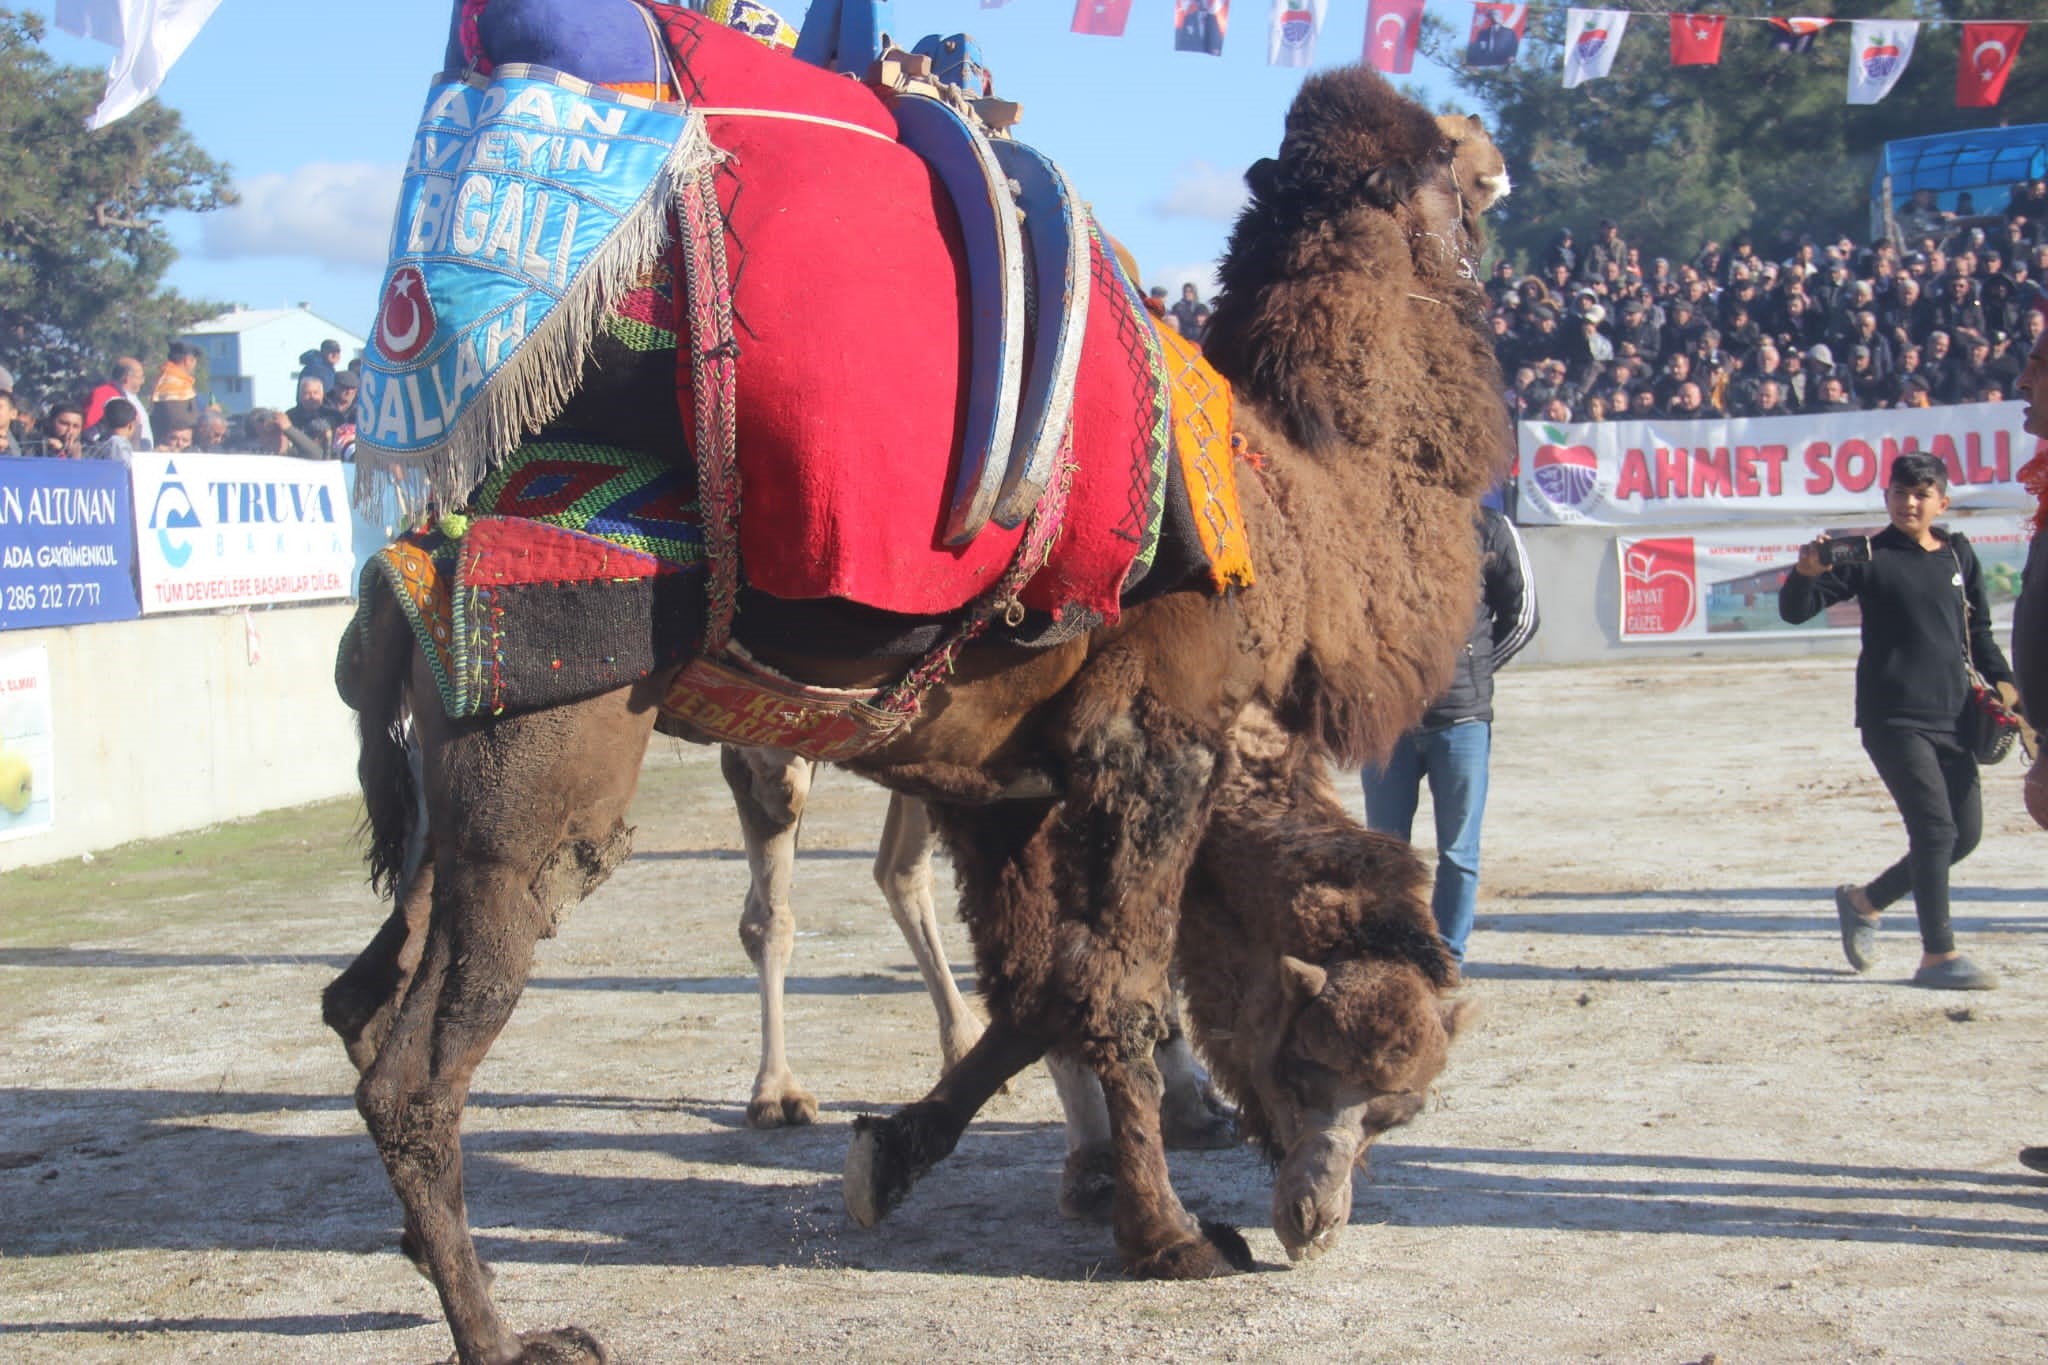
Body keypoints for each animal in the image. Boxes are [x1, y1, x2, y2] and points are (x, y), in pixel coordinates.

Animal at [323, 56, 1507, 1365]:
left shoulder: (1004, 789)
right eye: (1311, 1067)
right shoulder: (1155, 742)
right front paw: (1169, 1237)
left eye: (1394, 1106)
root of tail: (397, 578)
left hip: (448, 805)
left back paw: (420, 1248)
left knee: (357, 999)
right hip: (540, 770)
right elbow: (1120, 987)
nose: (1315, 1221)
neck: (1290, 498)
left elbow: (1042, 990)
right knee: (415, 1067)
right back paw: (506, 1333)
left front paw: (894, 1156)